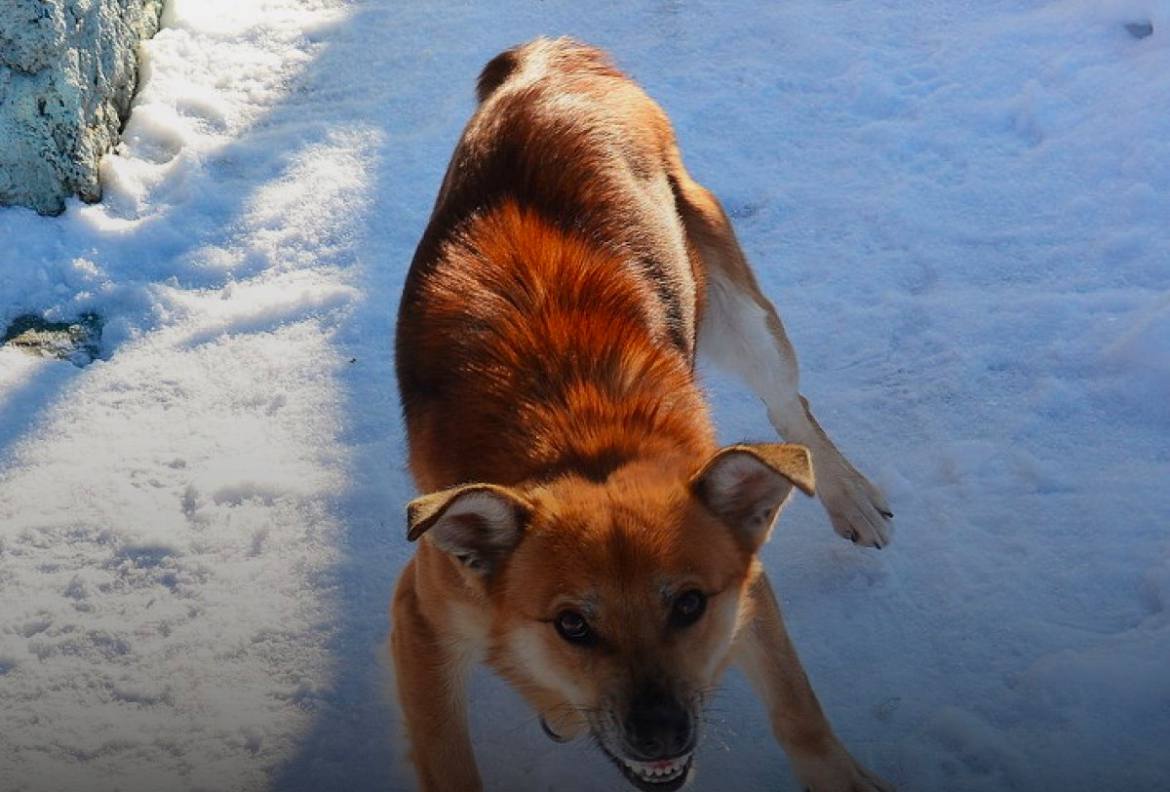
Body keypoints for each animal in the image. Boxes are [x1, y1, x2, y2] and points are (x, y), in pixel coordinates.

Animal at [388, 37, 889, 790]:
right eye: (572, 625)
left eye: (688, 605)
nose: (661, 734)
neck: (583, 445)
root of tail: (552, 57)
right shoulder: (423, 622)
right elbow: (451, 763)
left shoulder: (744, 589)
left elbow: (799, 714)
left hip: (737, 311)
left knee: (791, 408)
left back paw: (849, 496)